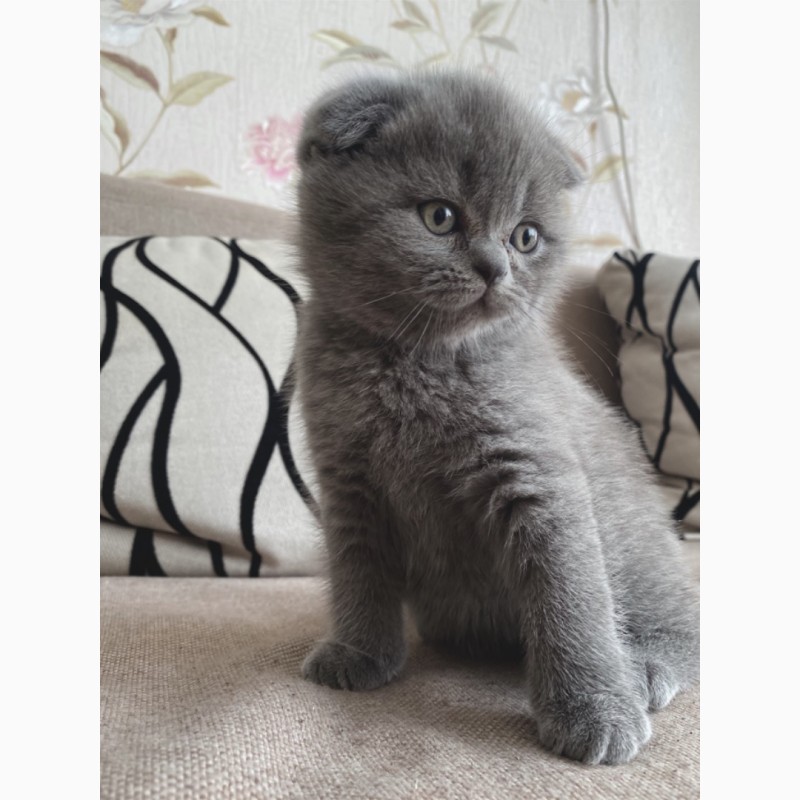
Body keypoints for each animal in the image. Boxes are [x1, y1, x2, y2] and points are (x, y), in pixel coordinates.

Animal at [290, 72, 696, 764]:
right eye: (440, 216)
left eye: (526, 236)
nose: (495, 268)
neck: (417, 361)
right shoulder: (347, 480)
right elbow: (357, 568)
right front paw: (360, 653)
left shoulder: (537, 473)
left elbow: (570, 595)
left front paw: (595, 711)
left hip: (636, 544)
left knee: (683, 623)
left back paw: (642, 670)